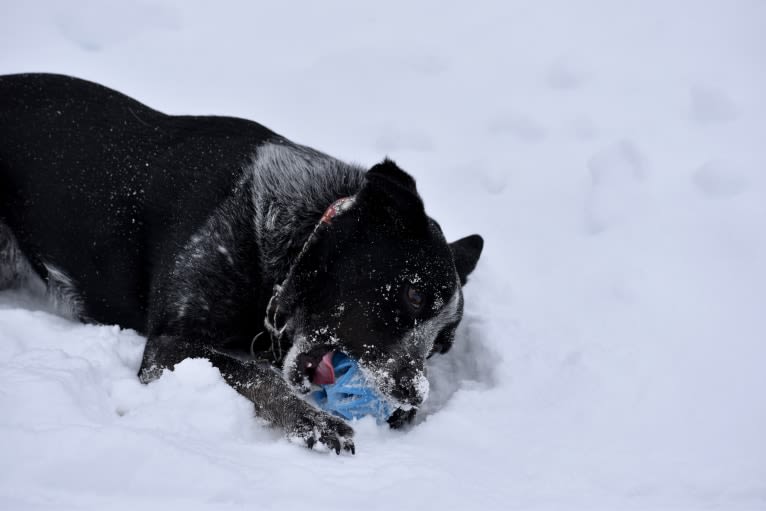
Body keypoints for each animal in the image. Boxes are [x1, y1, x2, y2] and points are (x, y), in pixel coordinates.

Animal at [0, 74, 484, 454]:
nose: (413, 396)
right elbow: (251, 372)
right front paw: (313, 421)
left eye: (440, 347)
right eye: (414, 294)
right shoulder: (167, 346)